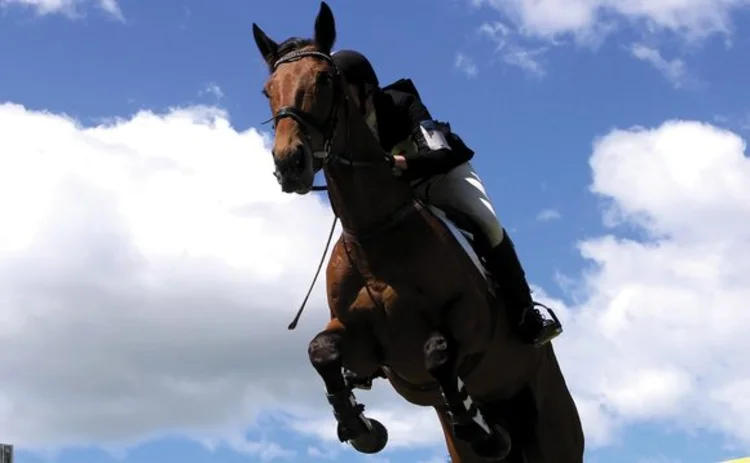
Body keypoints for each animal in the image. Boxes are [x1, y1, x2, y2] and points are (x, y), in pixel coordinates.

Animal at [251, 3, 585, 461]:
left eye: (324, 79)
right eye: (269, 90)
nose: (290, 164)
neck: (374, 232)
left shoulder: (471, 321)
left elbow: (439, 354)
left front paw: (480, 427)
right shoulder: (362, 341)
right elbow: (322, 351)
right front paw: (361, 428)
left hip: (554, 427)